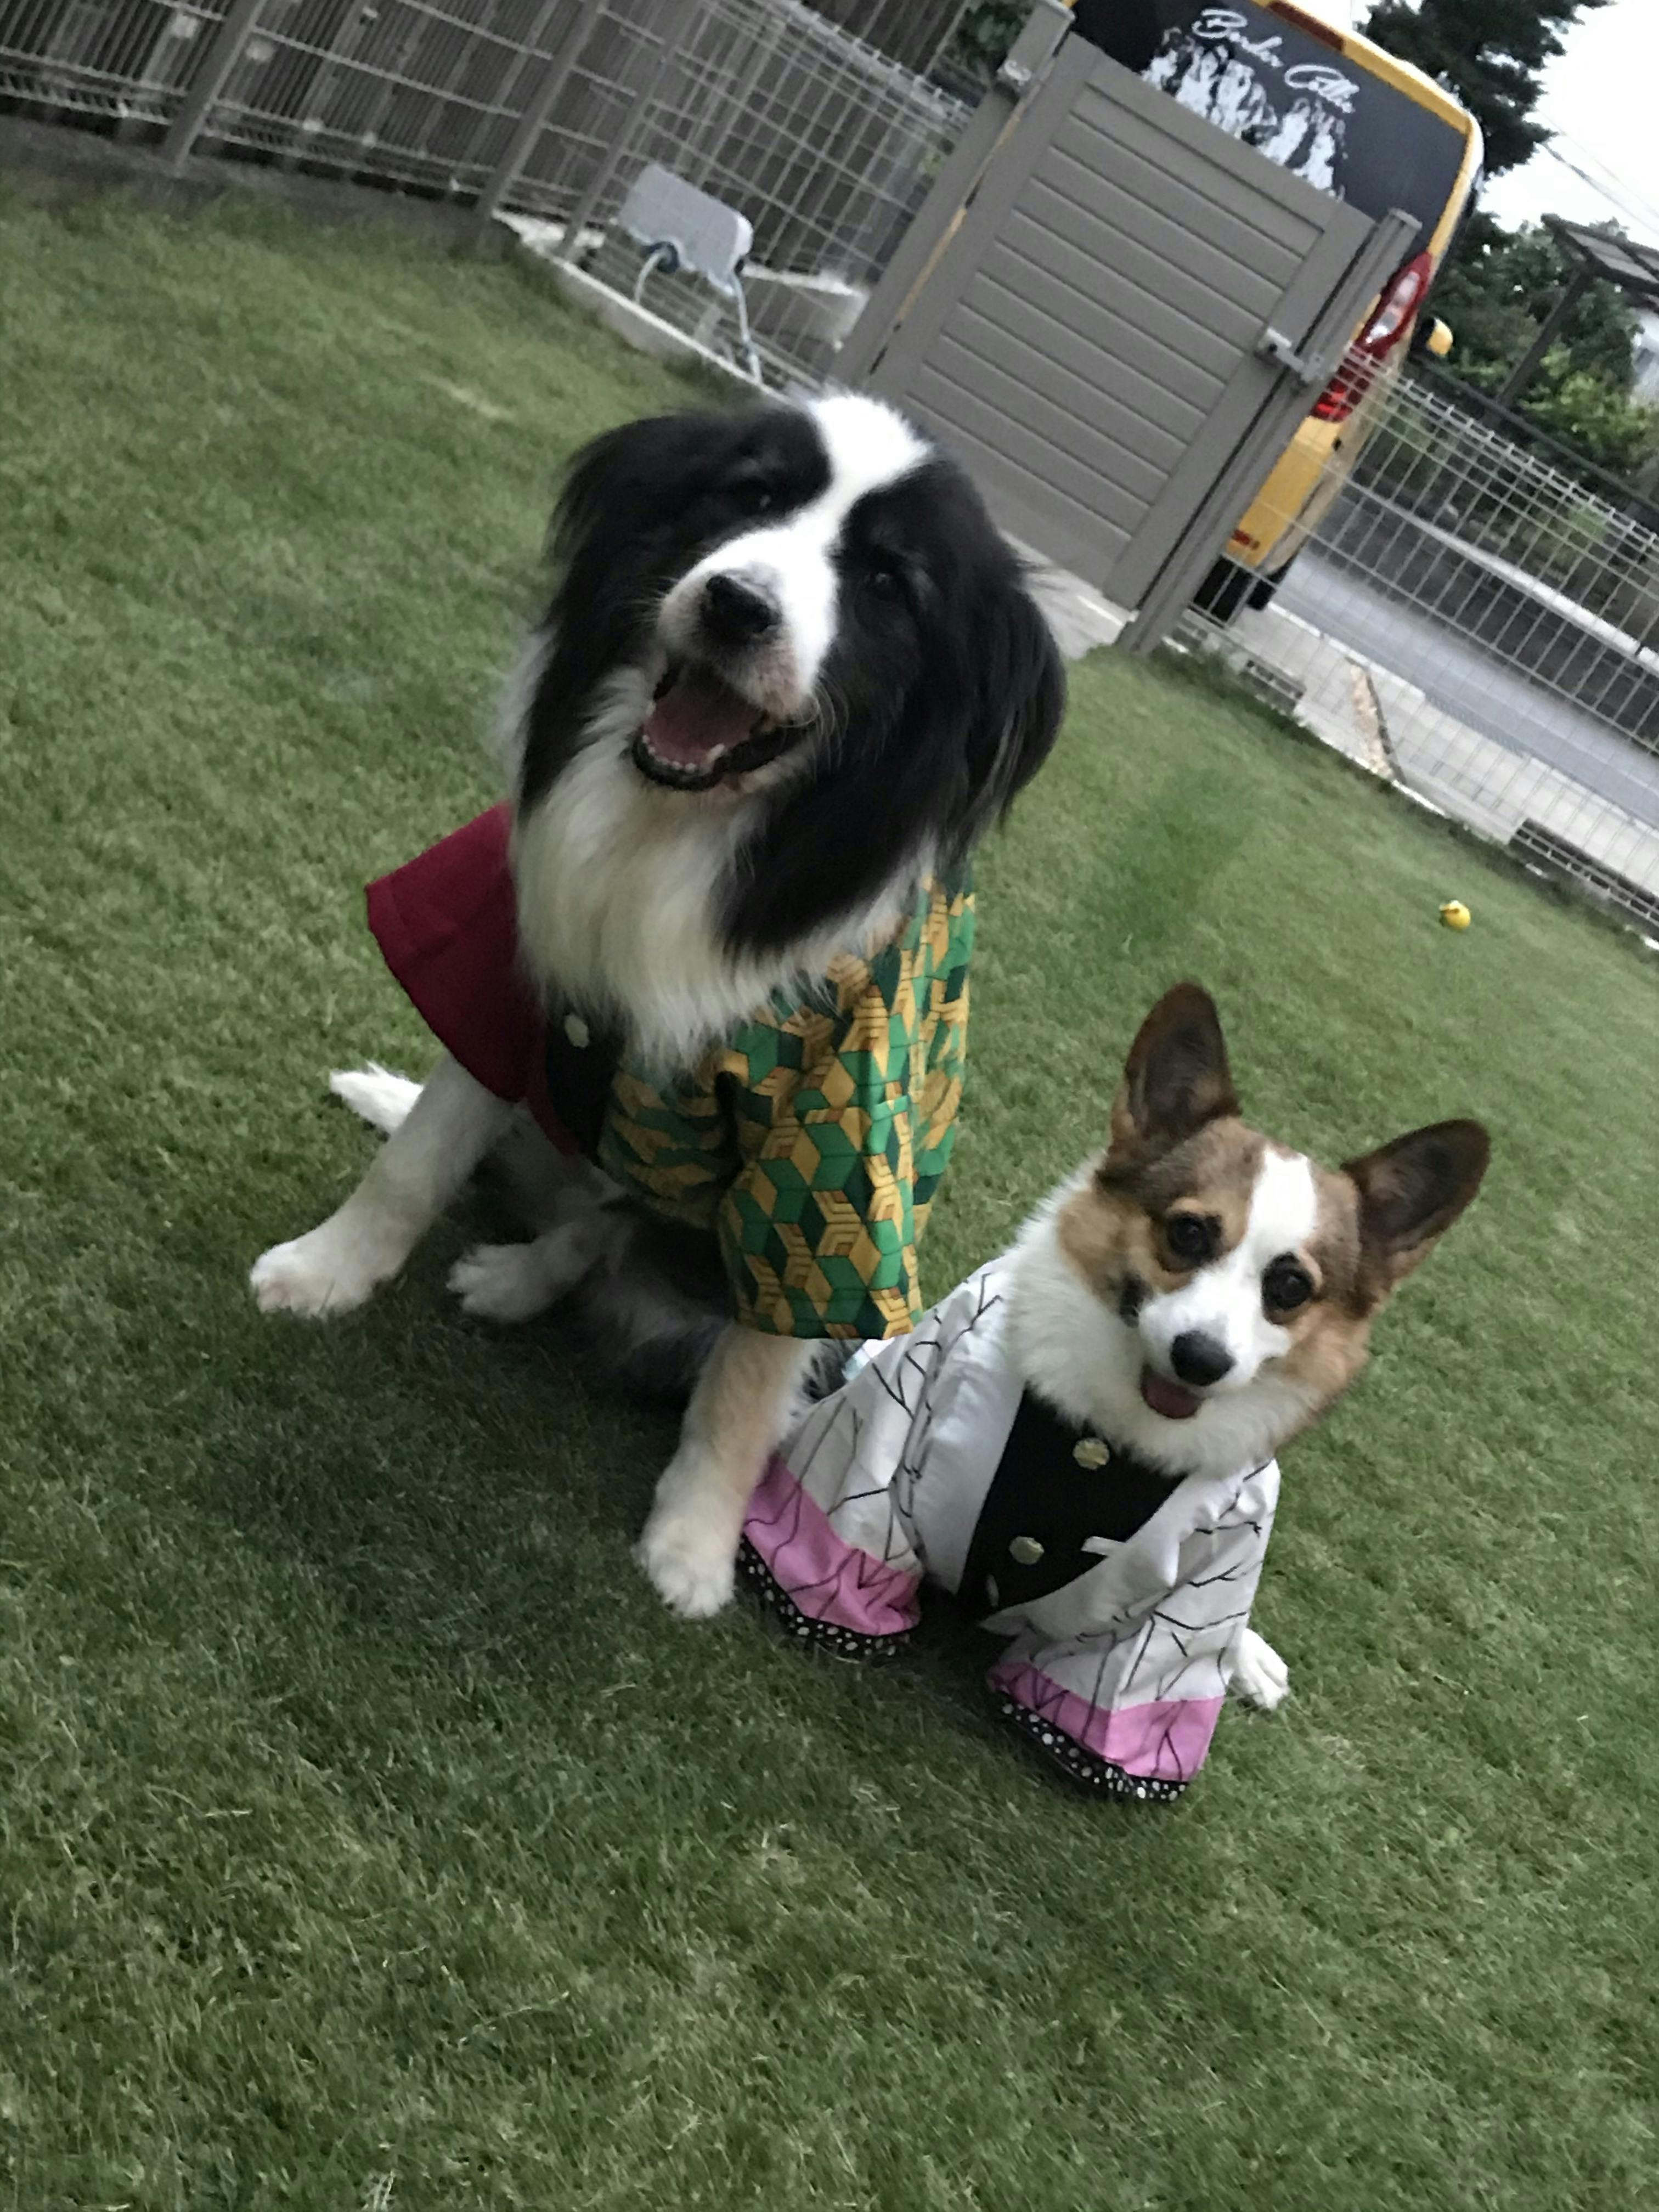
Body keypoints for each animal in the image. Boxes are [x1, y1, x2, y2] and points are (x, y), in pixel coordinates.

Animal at [250, 392, 1065, 1621]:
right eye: (751, 493)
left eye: (887, 580)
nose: (736, 604)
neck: (682, 831)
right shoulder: (508, 973)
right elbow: (419, 1157)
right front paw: (323, 1272)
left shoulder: (833, 1139)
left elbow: (752, 1371)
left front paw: (691, 1547)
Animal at [736, 982, 1490, 1799]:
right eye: (1188, 1233)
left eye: (1290, 1286)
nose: (1201, 1358)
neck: (1108, 1433)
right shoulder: (877, 1450)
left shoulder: (1188, 1608)